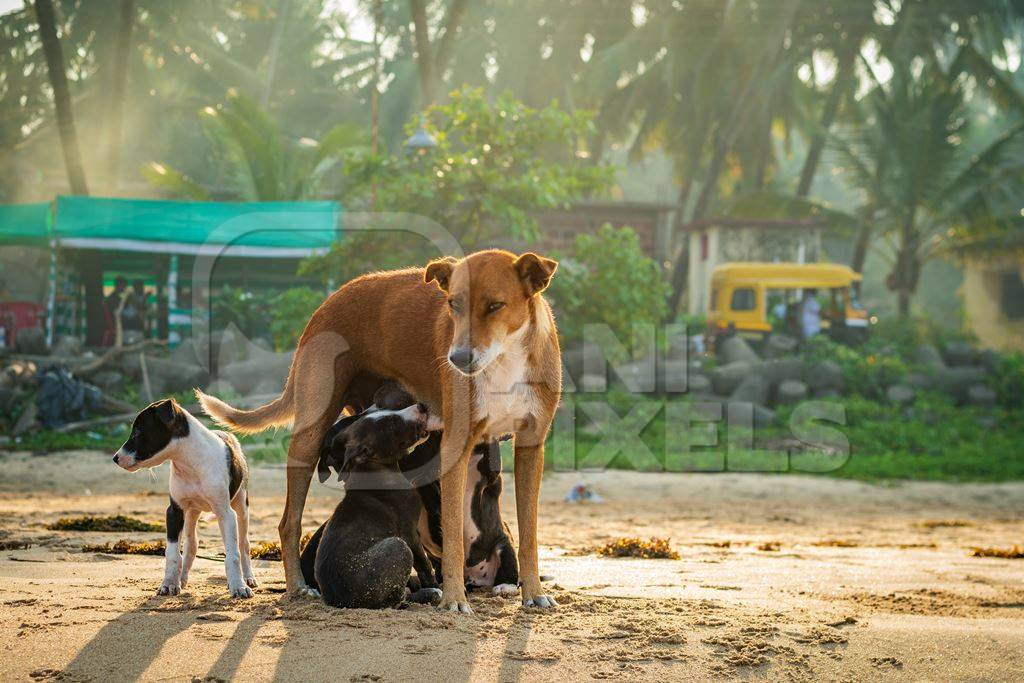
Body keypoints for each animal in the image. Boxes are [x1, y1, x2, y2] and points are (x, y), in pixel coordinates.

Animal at [110, 397, 256, 602]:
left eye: (138, 432)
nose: (115, 458)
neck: (190, 464)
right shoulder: (174, 511)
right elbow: (172, 553)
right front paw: (169, 584)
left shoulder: (226, 513)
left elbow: (232, 554)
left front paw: (238, 586)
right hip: (192, 512)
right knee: (191, 545)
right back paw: (183, 578)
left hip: (241, 508)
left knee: (243, 545)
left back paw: (248, 578)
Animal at [296, 401, 440, 610]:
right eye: (390, 424)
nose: (420, 406)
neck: (379, 471)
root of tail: (345, 601)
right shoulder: (409, 533)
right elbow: (424, 563)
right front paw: (435, 584)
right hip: (398, 546)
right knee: (395, 601)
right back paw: (429, 593)